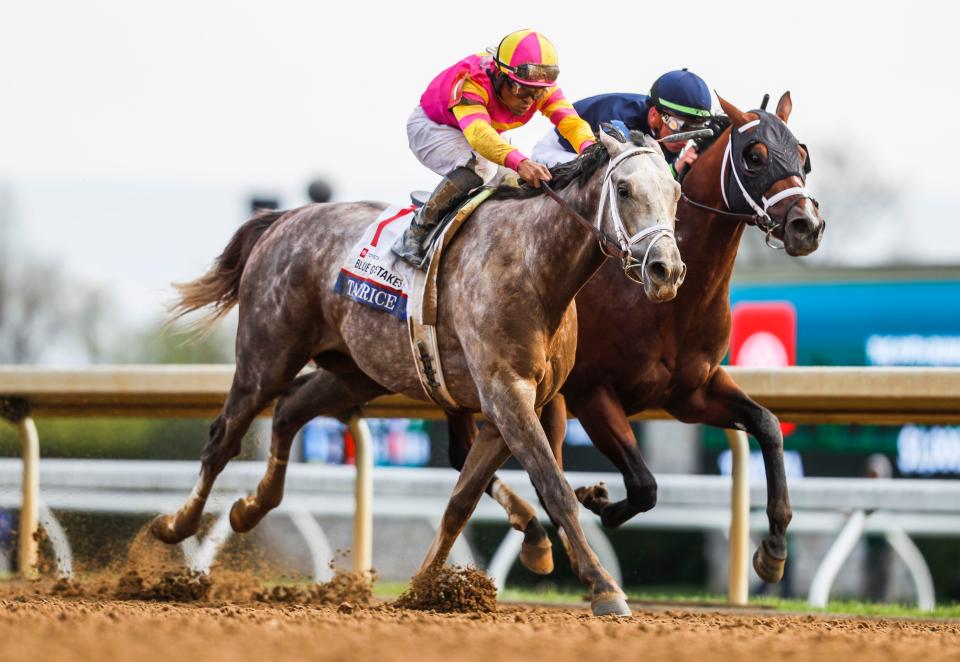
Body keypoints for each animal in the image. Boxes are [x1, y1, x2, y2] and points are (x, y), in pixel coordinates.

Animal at [150, 132, 688, 620]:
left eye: (676, 193)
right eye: (624, 189)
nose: (667, 270)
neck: (534, 265)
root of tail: (285, 218)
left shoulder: (515, 404)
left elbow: (462, 499)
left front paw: (424, 587)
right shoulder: (505, 393)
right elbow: (554, 488)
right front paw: (605, 588)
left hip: (357, 371)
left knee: (288, 412)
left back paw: (250, 507)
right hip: (266, 357)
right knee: (223, 436)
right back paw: (174, 529)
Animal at [450, 92, 824, 588]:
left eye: (801, 153)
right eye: (755, 155)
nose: (806, 225)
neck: (664, 303)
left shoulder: (690, 393)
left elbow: (768, 426)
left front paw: (774, 549)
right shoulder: (592, 394)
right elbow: (644, 486)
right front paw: (598, 502)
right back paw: (538, 533)